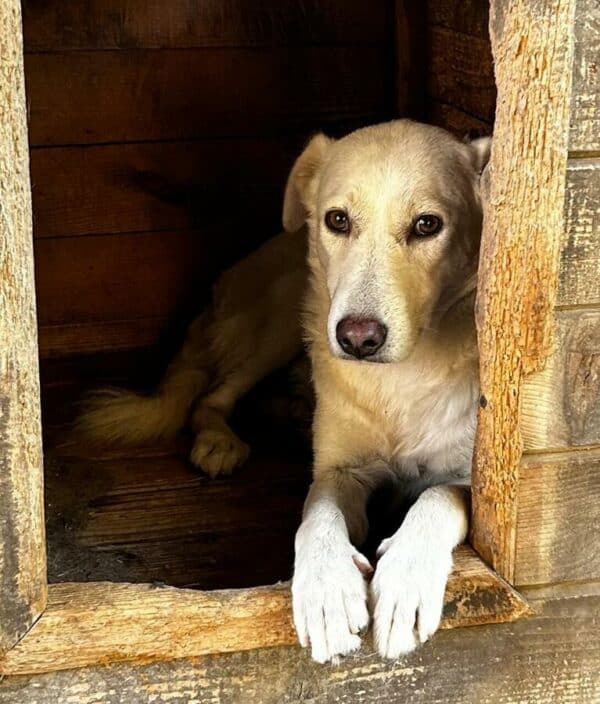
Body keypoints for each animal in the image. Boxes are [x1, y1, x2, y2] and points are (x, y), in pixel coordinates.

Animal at [78, 121, 492, 664]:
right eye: (337, 220)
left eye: (427, 225)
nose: (357, 339)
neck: (398, 380)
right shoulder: (338, 471)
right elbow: (316, 515)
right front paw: (326, 591)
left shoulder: (465, 478)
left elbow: (436, 497)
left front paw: (406, 578)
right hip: (282, 321)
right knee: (211, 396)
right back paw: (219, 440)